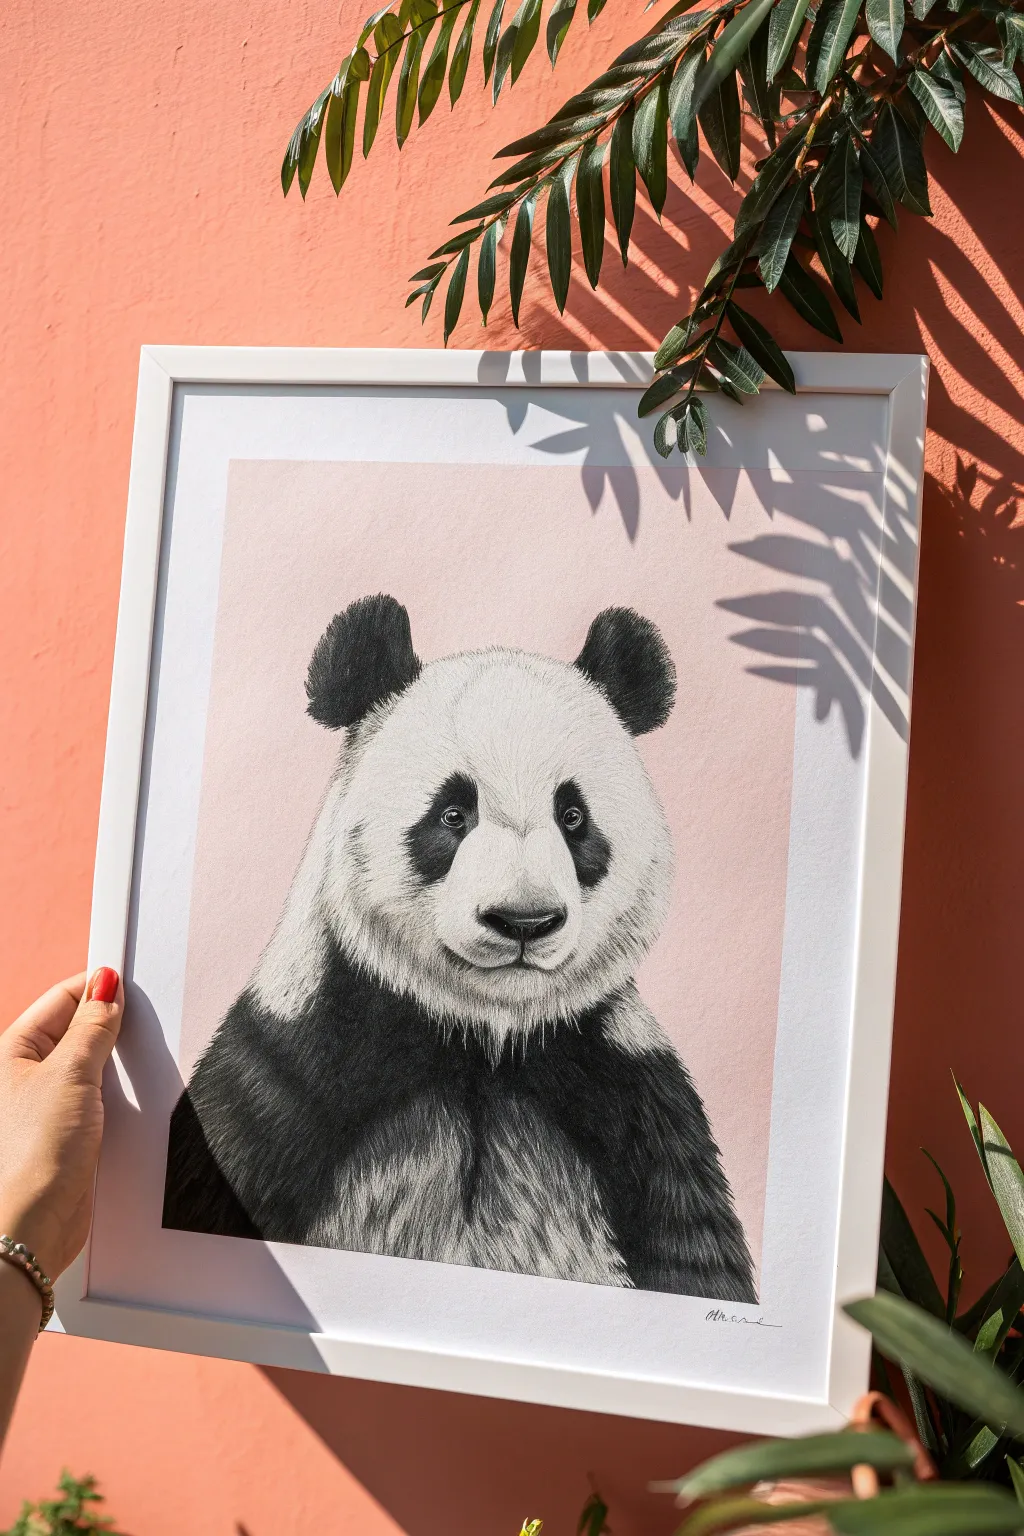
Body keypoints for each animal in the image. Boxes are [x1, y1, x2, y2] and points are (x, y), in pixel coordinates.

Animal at [162, 594, 756, 1303]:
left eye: (573, 817)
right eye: (452, 813)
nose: (524, 920)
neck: (483, 1043)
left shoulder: (632, 1094)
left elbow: (696, 1258)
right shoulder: (298, 1066)